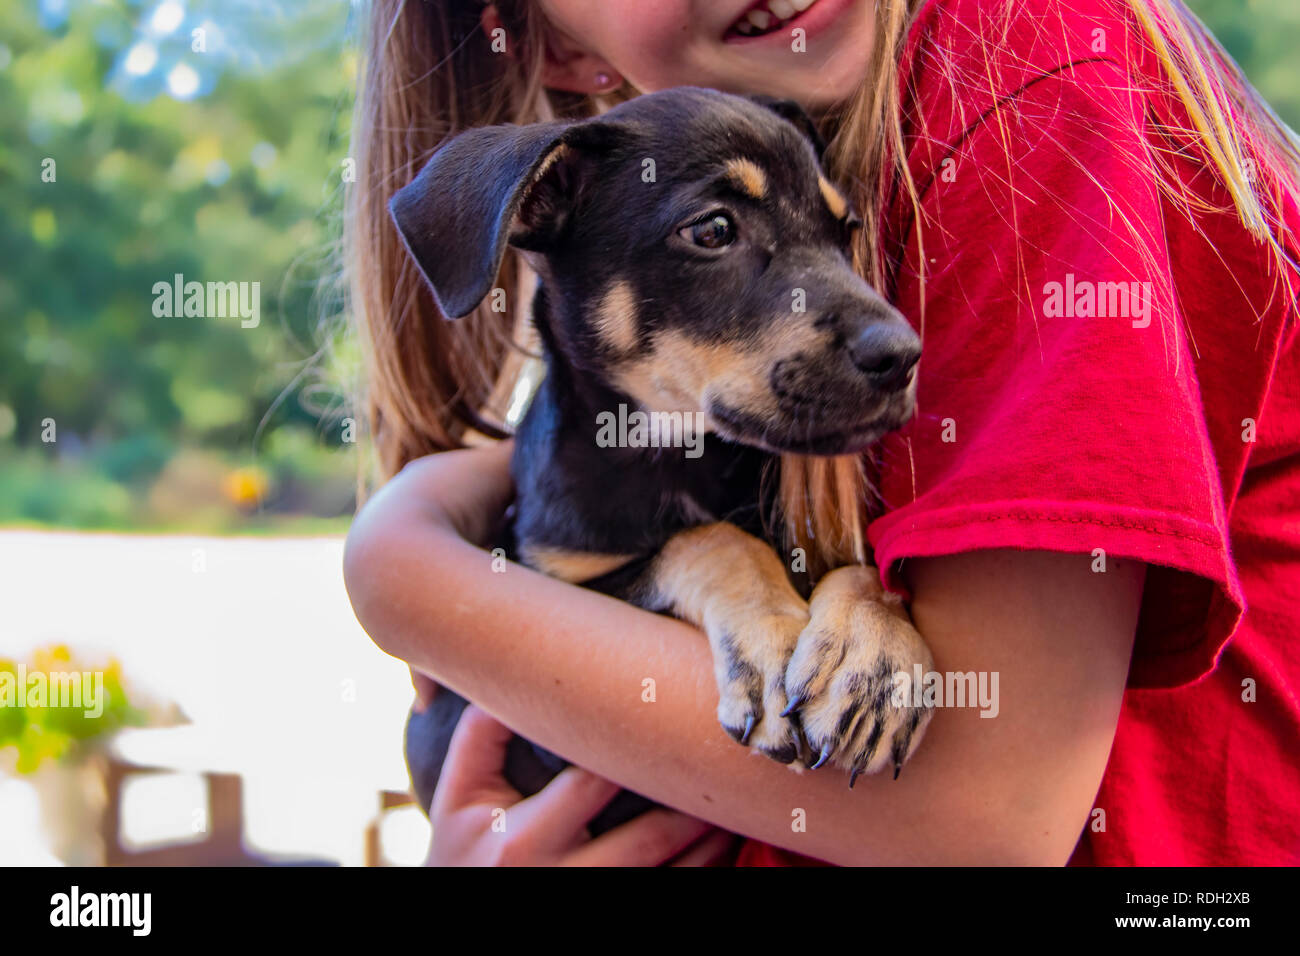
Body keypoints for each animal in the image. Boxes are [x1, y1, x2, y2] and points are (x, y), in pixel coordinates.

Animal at [395, 85, 935, 832]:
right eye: (712, 231)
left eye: (844, 231)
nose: (904, 357)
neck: (674, 452)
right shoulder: (536, 689)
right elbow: (708, 539)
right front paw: (771, 640)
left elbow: (853, 563)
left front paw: (877, 653)